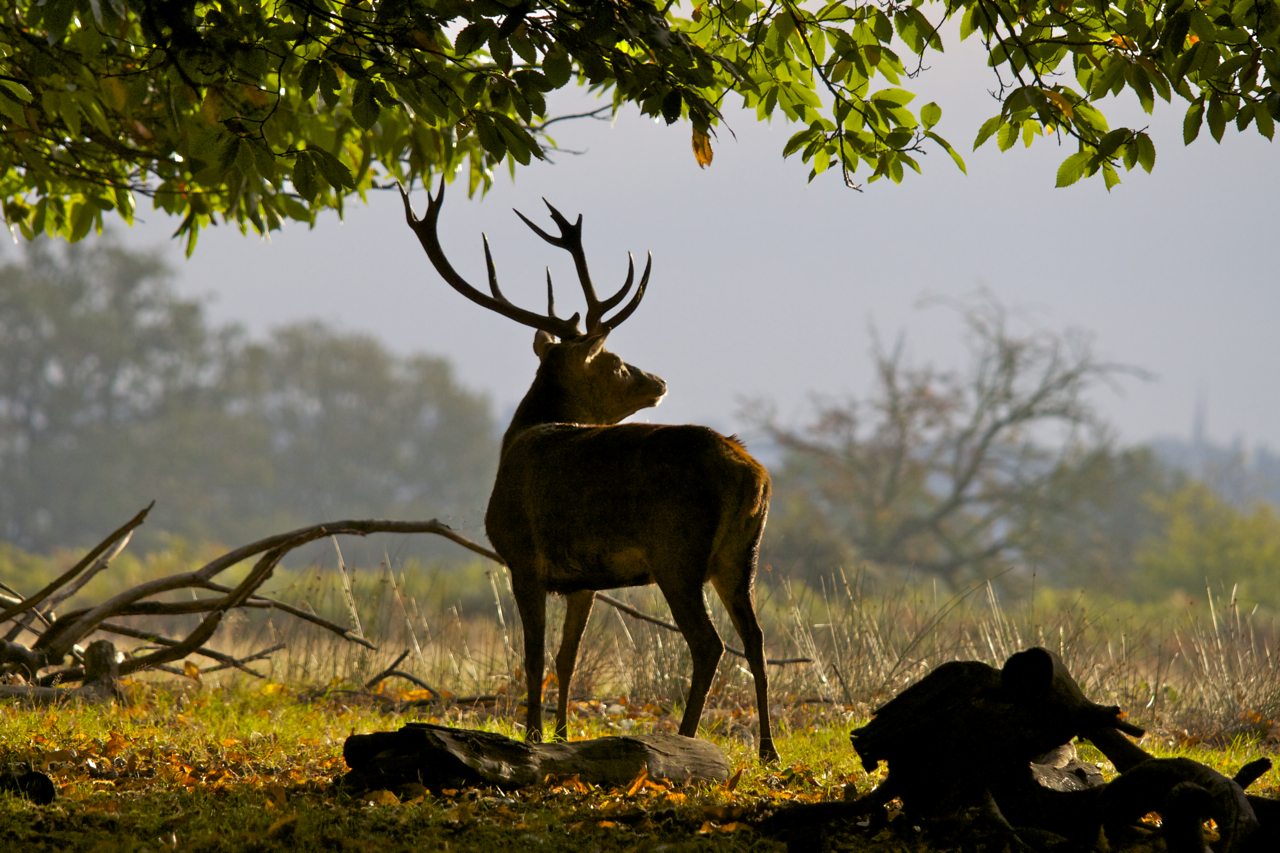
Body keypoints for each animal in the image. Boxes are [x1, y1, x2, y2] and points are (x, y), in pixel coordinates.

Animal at [399, 179, 779, 764]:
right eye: (618, 365)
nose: (658, 380)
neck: (518, 439)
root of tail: (751, 475)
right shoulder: (583, 579)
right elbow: (565, 657)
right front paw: (559, 736)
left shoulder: (522, 557)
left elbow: (532, 657)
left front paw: (532, 738)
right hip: (740, 553)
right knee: (755, 639)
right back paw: (767, 750)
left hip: (677, 550)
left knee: (708, 643)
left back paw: (685, 739)